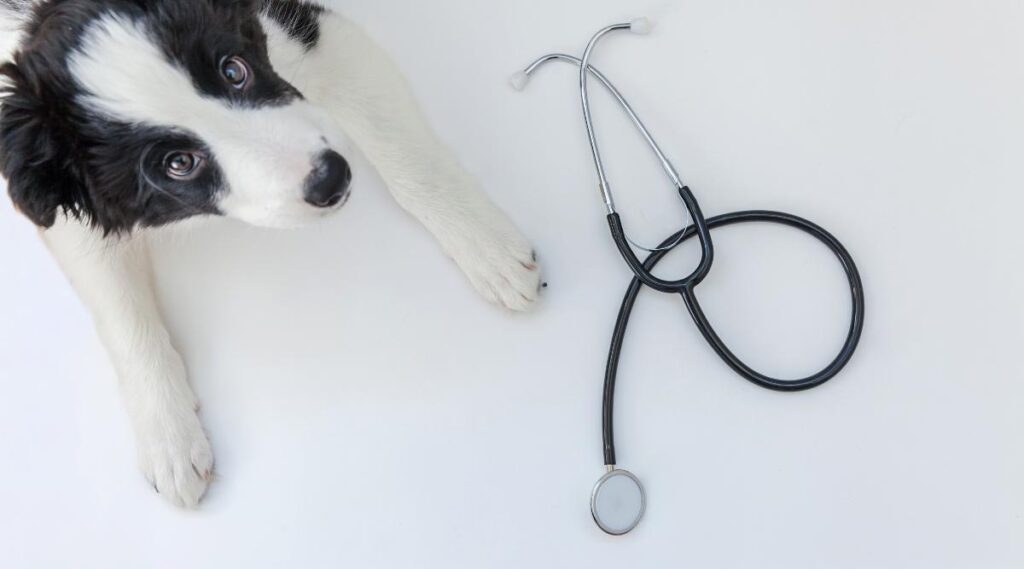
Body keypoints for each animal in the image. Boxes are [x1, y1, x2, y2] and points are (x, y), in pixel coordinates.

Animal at [0, 0, 544, 507]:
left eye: (234, 70)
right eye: (179, 164)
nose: (332, 179)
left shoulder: (312, 35)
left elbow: (407, 160)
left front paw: (487, 248)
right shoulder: (60, 202)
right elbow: (120, 312)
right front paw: (167, 433)